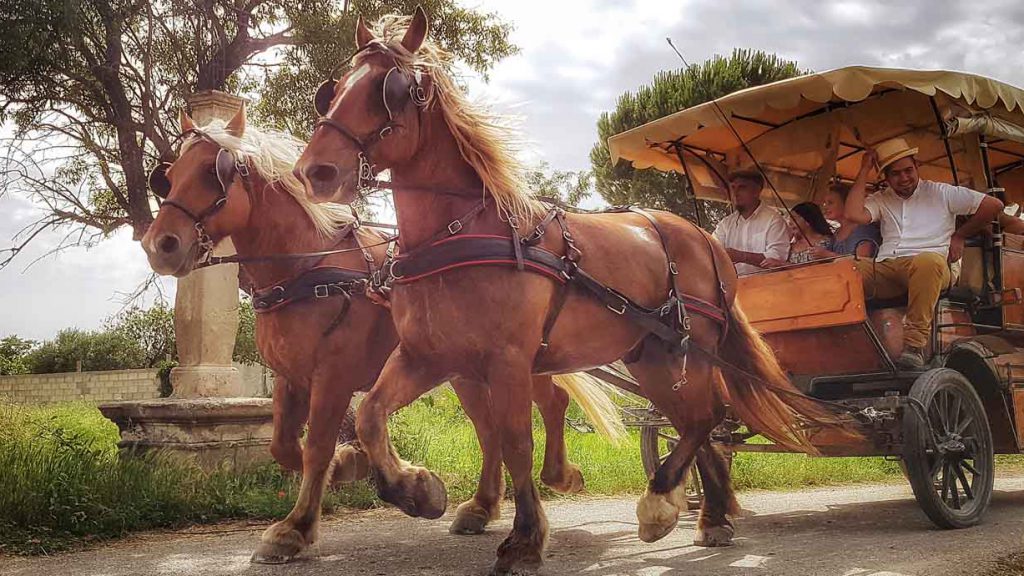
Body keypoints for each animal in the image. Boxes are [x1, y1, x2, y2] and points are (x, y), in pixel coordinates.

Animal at [140, 106, 626, 561]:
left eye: (213, 172)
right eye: (168, 177)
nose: (160, 245)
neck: (308, 267)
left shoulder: (333, 376)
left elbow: (316, 446)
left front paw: (298, 527)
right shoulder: (290, 378)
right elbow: (283, 445)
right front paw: (353, 465)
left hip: (516, 362)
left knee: (550, 402)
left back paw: (559, 476)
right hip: (467, 373)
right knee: (490, 429)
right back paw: (483, 506)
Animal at [294, 10, 856, 573]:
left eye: (389, 90)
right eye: (334, 90)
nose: (314, 172)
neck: (457, 234)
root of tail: (707, 241)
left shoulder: (509, 360)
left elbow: (516, 442)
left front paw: (524, 538)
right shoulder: (427, 356)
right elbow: (371, 415)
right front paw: (416, 489)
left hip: (691, 353)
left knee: (707, 419)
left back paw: (661, 502)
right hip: (653, 359)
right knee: (700, 424)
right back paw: (710, 515)